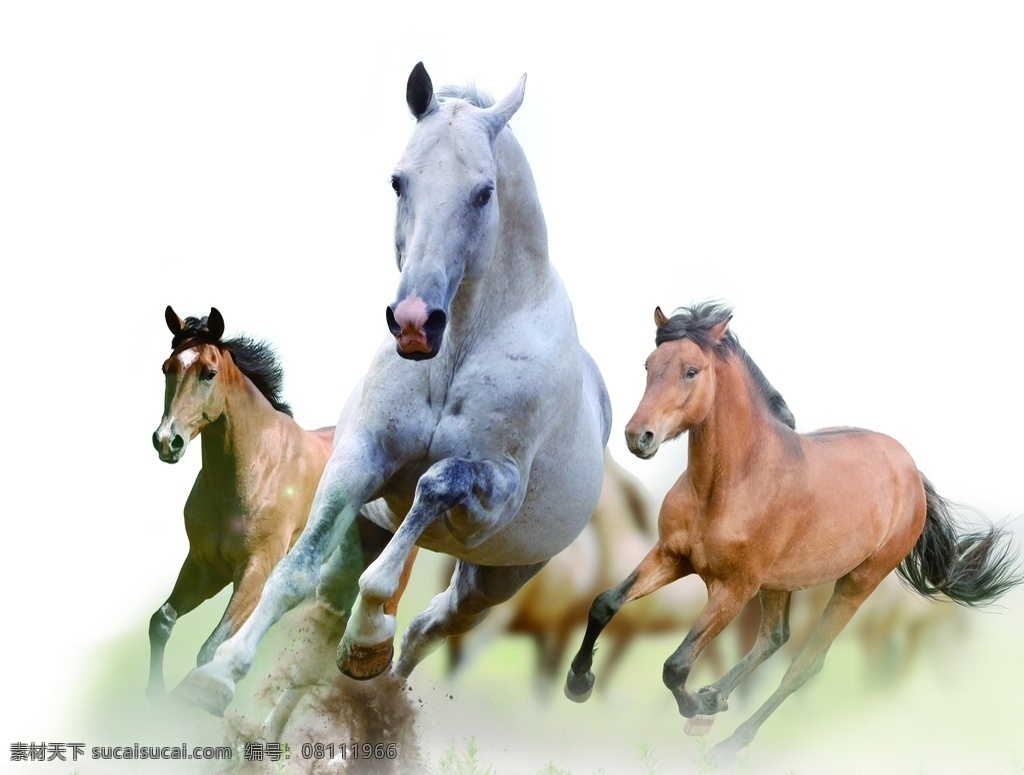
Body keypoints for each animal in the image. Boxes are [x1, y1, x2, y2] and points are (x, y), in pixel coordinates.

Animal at [177, 60, 610, 712]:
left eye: (484, 192)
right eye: (398, 182)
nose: (413, 322)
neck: (458, 350)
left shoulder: (491, 498)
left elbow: (434, 485)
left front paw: (367, 633)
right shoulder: (361, 458)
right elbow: (294, 570)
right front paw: (219, 673)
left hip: (493, 582)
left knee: (429, 628)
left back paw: (373, 670)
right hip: (372, 531)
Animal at [565, 298, 1019, 757]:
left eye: (691, 370)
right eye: (648, 364)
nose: (638, 436)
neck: (727, 484)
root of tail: (911, 473)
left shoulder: (734, 588)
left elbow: (675, 665)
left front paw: (695, 705)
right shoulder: (672, 556)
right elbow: (605, 603)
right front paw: (579, 683)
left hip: (856, 584)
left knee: (804, 663)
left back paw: (729, 740)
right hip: (780, 582)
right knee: (773, 639)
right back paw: (715, 699)